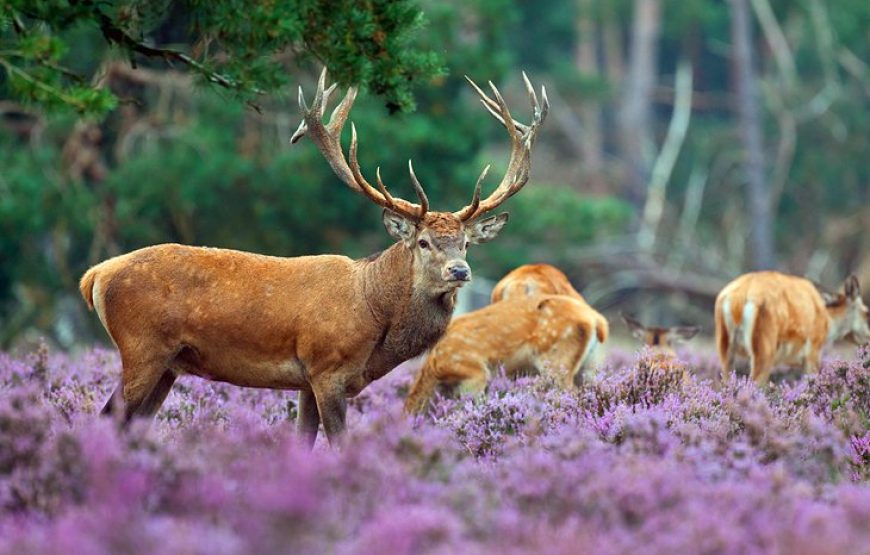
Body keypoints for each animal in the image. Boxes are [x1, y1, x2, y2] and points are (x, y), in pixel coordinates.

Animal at [78, 69, 548, 446]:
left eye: (465, 243)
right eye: (423, 242)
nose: (460, 270)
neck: (373, 312)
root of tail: (95, 274)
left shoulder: (306, 381)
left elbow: (303, 442)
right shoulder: (328, 369)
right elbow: (339, 444)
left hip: (169, 365)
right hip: (142, 348)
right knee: (105, 418)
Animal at [716, 272, 870, 384]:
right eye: (867, 312)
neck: (829, 323)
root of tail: (737, 301)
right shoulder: (813, 350)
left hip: (724, 346)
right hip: (765, 347)